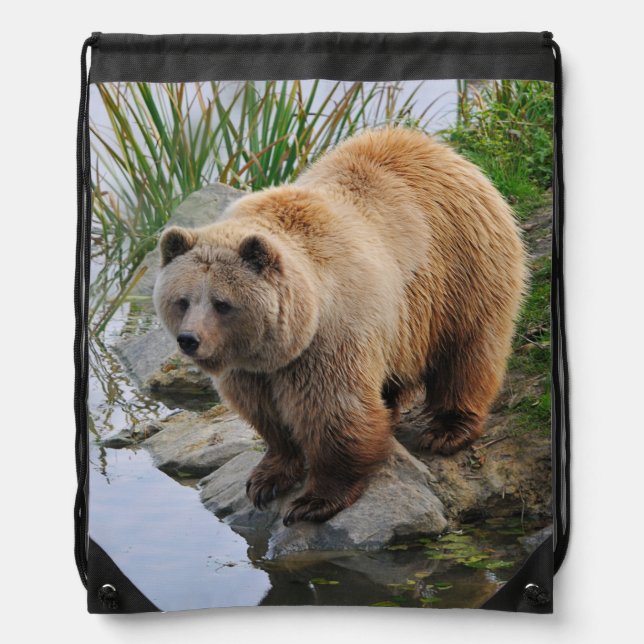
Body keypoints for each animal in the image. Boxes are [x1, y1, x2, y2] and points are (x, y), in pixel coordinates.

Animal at [153, 127, 526, 526]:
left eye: (222, 303)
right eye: (182, 300)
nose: (189, 340)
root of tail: (438, 148)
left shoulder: (329, 338)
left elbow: (334, 413)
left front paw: (315, 500)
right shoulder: (251, 368)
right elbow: (266, 415)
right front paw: (267, 478)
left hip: (460, 268)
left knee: (467, 350)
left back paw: (447, 430)